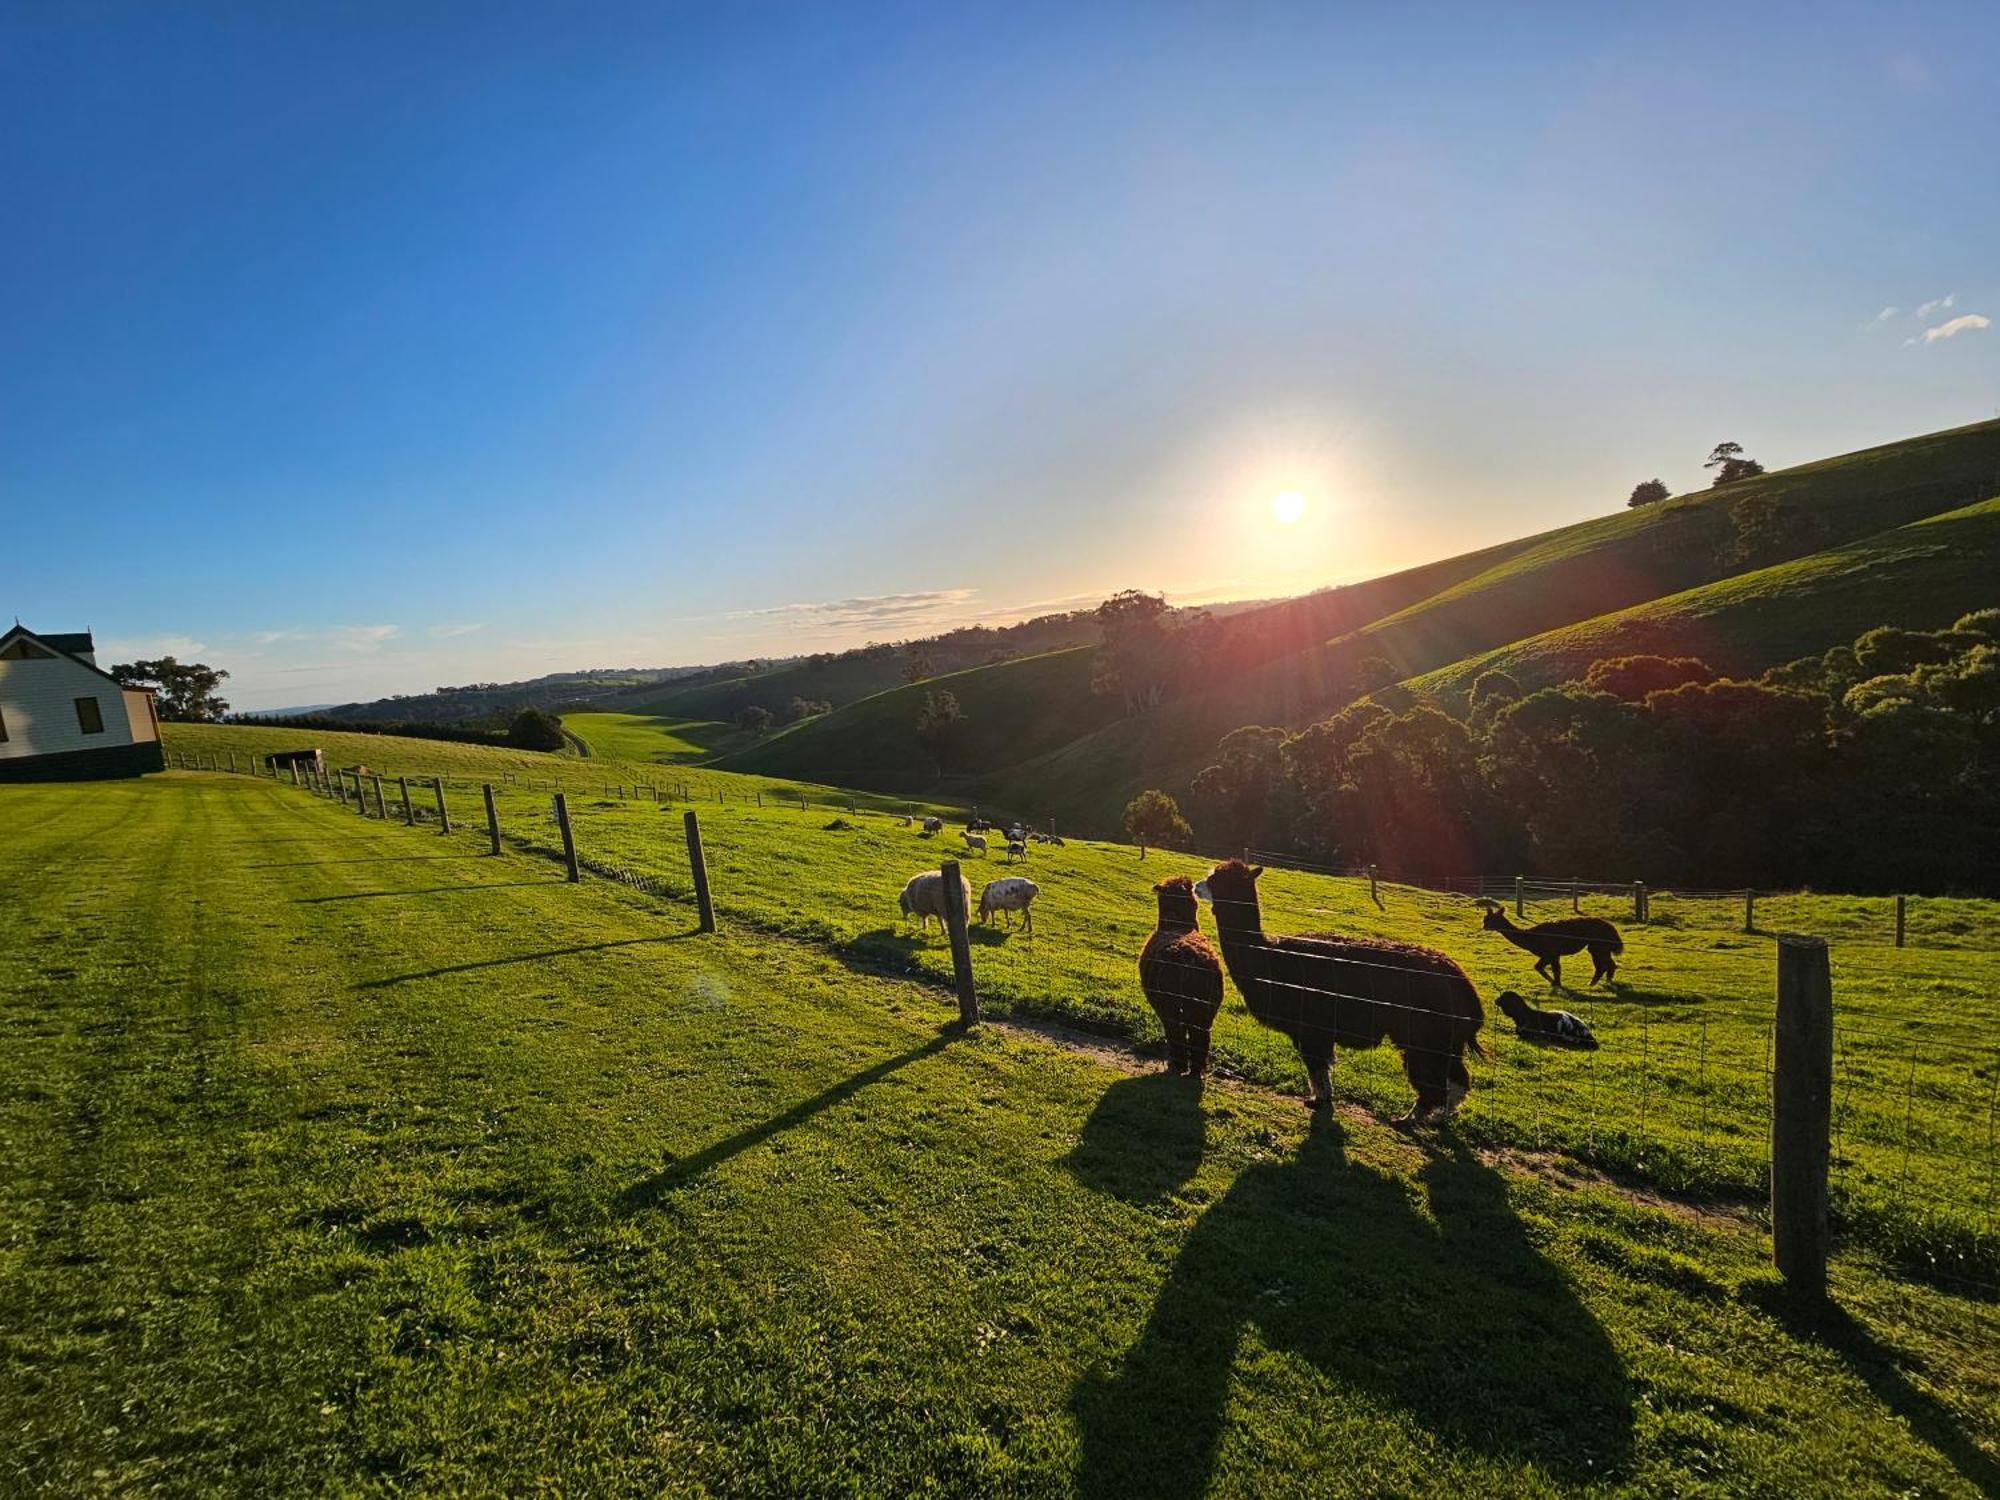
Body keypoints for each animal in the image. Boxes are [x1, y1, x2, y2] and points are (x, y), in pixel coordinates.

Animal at [1144, 880, 1216, 1080]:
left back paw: (1179, 1064)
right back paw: (1196, 1071)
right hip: (1205, 1005)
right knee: (1200, 1035)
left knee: (1175, 1029)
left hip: (1169, 1001)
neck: (1177, 926)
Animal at [1184, 864, 1488, 1120]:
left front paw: (1318, 1101)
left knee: (1433, 1079)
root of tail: (1463, 984)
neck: (1271, 960)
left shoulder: (1311, 1027)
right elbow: (1323, 1068)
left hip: (1426, 1033)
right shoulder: (1319, 1030)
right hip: (1444, 1037)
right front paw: (1322, 1099)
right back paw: (1440, 1117)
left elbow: (1317, 1066)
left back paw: (1411, 1118)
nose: (1196, 886)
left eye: (1217, 879)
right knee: (1457, 1077)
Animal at [1472, 900, 1624, 992]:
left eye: (1489, 920)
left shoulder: (1551, 952)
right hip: (1599, 946)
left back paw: (1597, 983)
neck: (1531, 937)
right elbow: (1546, 968)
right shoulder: (1551, 954)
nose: (1484, 926)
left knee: (1604, 964)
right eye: (1485, 919)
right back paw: (1601, 983)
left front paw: (1556, 984)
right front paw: (1556, 984)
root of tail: (1611, 928)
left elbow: (1548, 968)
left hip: (1599, 944)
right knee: (1607, 964)